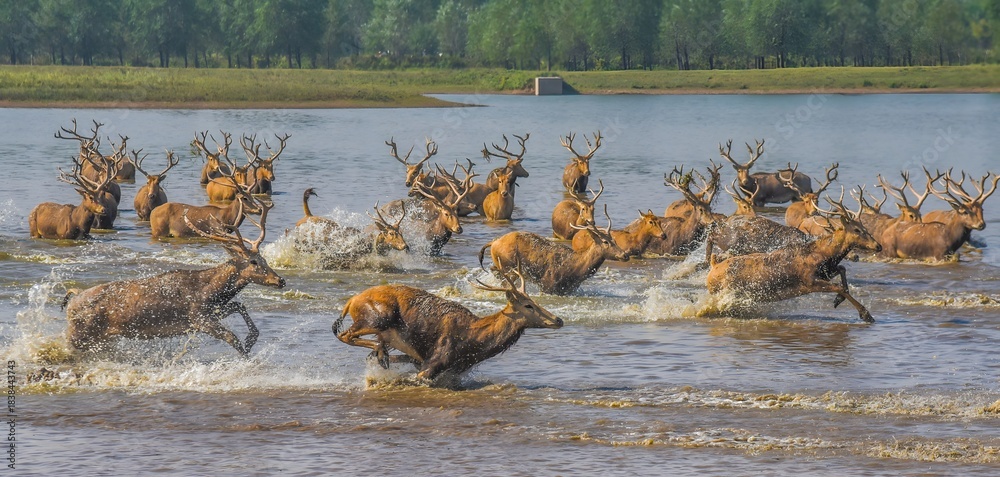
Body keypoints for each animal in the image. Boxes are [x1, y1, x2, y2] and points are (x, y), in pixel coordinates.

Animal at [62, 199, 285, 357]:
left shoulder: (213, 311)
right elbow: (232, 338)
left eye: (265, 259)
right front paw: (248, 355)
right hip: (79, 334)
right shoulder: (198, 318)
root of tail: (73, 298)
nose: (280, 280)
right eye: (253, 262)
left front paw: (251, 339)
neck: (210, 291)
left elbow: (239, 305)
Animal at [333, 257, 562, 384]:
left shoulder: (426, 362)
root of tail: (350, 302)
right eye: (528, 305)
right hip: (378, 318)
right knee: (344, 334)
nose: (558, 320)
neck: (474, 342)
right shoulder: (433, 362)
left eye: (534, 301)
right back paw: (381, 351)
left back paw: (381, 354)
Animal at [479, 207, 630, 295]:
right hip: (508, 267)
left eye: (615, 240)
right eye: (605, 242)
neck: (575, 271)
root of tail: (493, 242)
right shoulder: (547, 285)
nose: (625, 255)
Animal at [706, 195, 882, 323]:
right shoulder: (809, 281)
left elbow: (842, 271)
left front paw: (838, 300)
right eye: (857, 229)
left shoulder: (826, 271)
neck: (825, 255)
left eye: (865, 227)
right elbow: (839, 287)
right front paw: (866, 314)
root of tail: (713, 267)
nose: (878, 245)